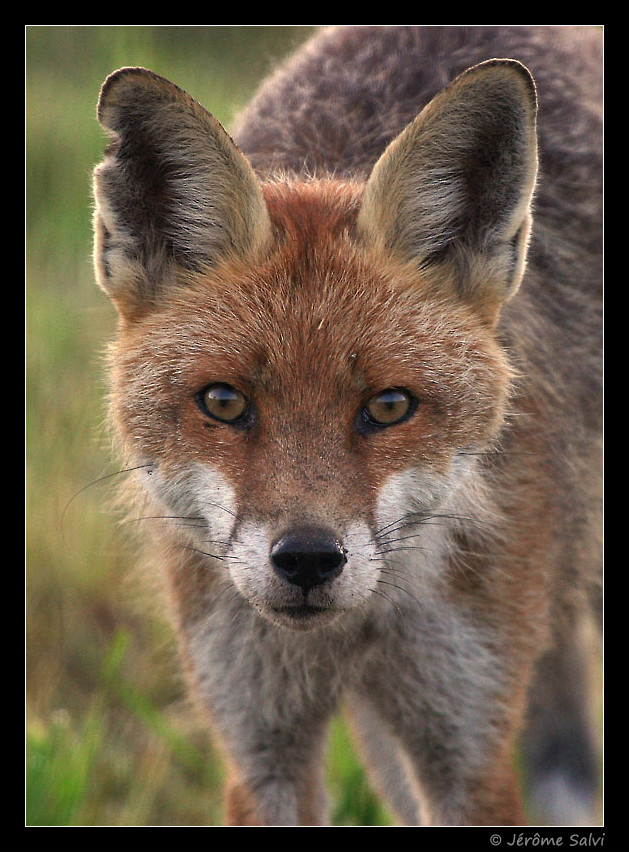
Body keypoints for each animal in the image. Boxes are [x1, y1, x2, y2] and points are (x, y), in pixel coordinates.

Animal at [92, 26, 602, 826]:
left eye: (389, 407)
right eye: (224, 403)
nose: (306, 560)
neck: (353, 631)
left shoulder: (468, 741)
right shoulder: (259, 744)